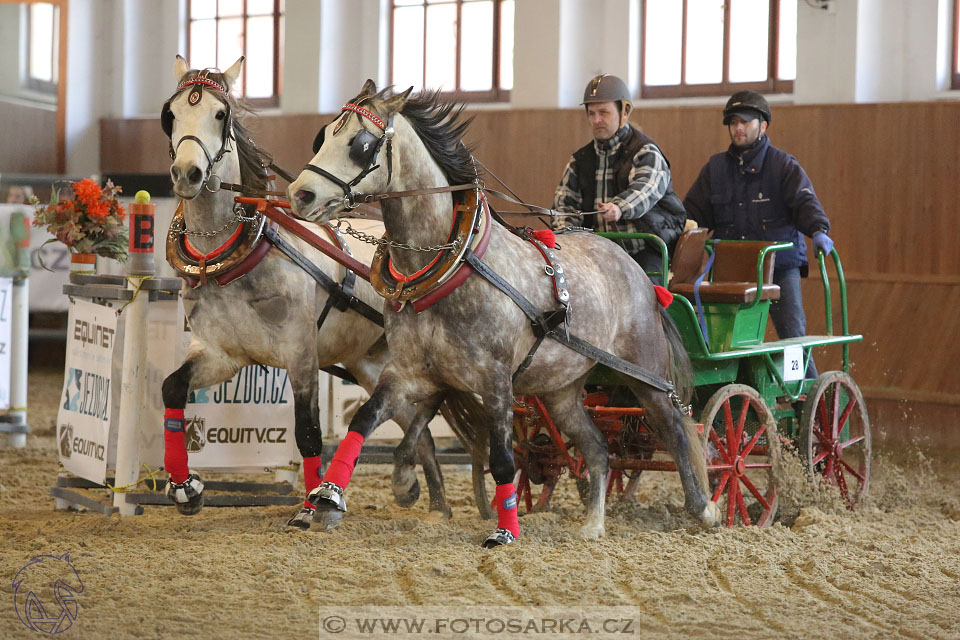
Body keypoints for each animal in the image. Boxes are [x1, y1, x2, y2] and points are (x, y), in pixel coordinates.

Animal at [160, 56, 450, 524]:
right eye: (170, 115)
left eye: (221, 115)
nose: (188, 173)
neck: (234, 253)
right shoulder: (219, 353)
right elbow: (172, 389)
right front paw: (186, 487)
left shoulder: (300, 355)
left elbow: (308, 432)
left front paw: (312, 505)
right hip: (372, 364)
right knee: (413, 424)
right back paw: (432, 501)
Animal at [288, 82, 716, 548]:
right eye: (322, 136)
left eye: (361, 144)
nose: (300, 194)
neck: (452, 265)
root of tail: (640, 274)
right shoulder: (409, 372)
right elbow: (366, 421)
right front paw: (333, 496)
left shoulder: (494, 379)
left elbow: (502, 458)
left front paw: (505, 530)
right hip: (561, 389)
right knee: (598, 448)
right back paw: (593, 524)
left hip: (645, 372)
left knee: (674, 428)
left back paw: (704, 508)